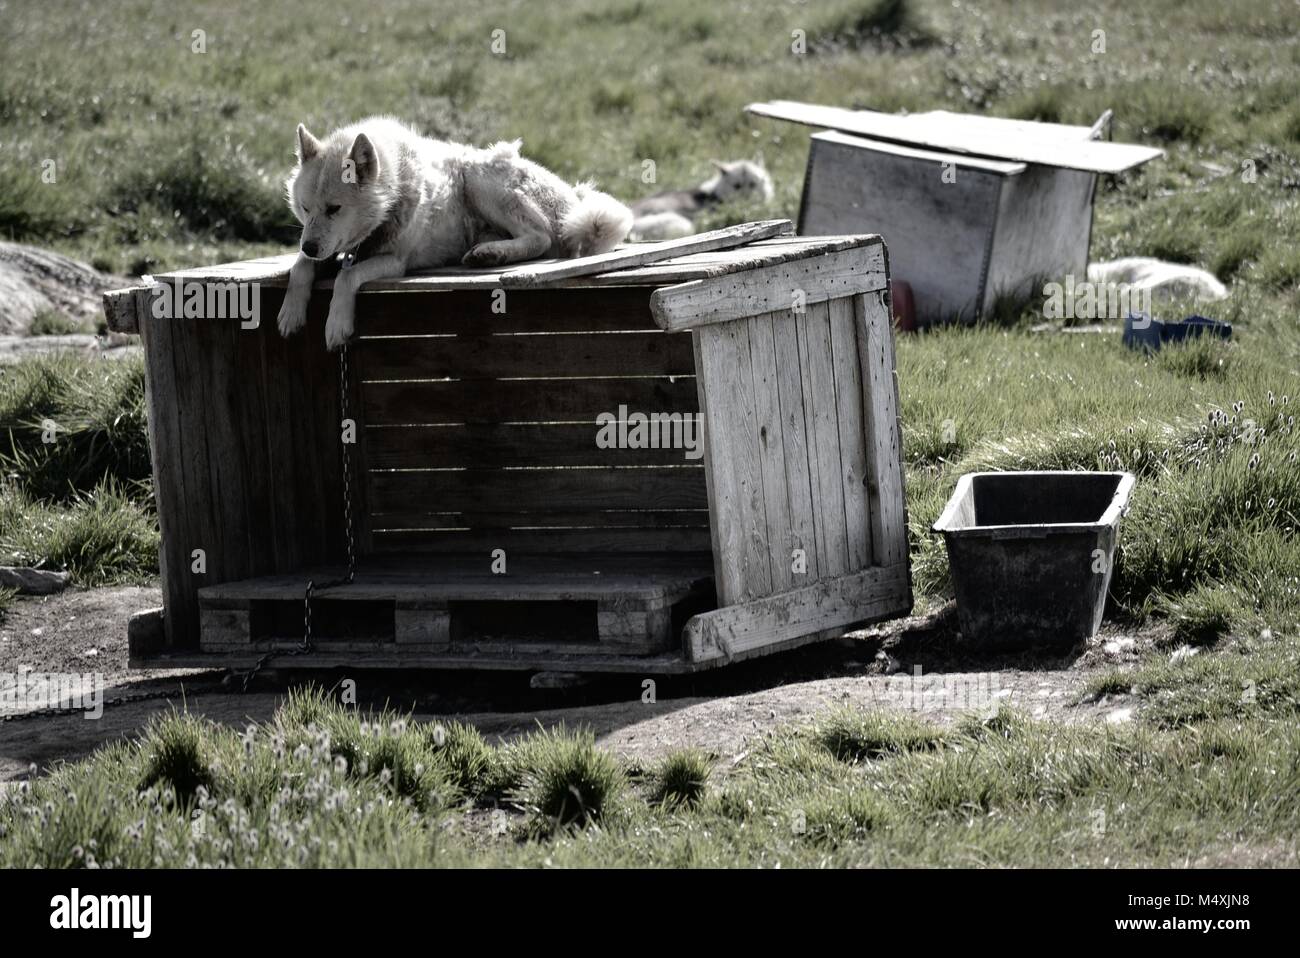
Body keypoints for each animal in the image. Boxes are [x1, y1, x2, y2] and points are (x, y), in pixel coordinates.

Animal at [279, 115, 634, 348]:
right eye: (305, 208)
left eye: (334, 209)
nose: (309, 245)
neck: (391, 193)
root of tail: (572, 196)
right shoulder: (333, 249)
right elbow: (300, 268)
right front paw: (290, 313)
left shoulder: (395, 261)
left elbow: (346, 277)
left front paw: (336, 325)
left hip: (478, 179)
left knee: (541, 236)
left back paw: (492, 255)